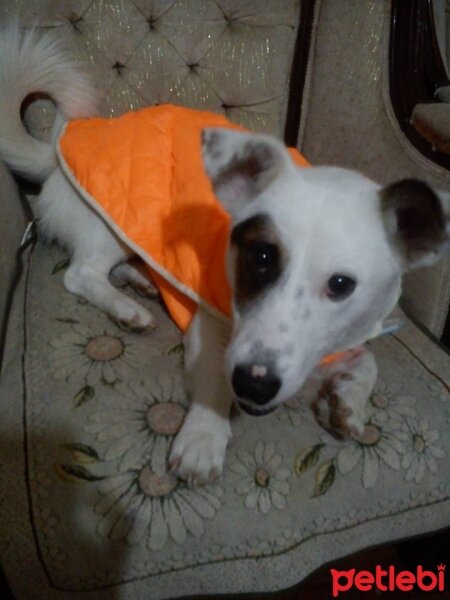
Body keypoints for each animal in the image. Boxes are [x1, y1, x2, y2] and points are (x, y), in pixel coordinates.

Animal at [0, 28, 450, 486]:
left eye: (341, 285)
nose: (254, 386)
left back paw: (141, 282)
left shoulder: (346, 337)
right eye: (261, 257)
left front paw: (349, 404)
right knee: (81, 272)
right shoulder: (212, 323)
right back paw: (127, 307)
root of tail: (54, 162)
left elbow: (369, 362)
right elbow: (216, 373)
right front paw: (204, 435)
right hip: (116, 219)